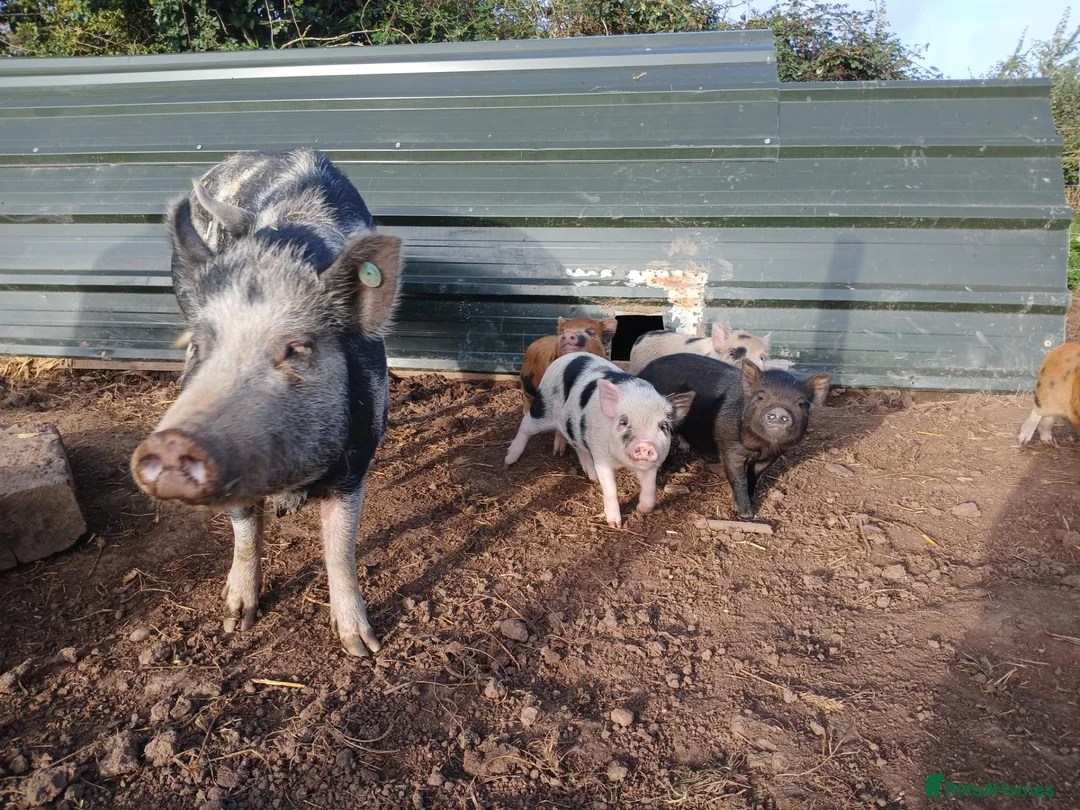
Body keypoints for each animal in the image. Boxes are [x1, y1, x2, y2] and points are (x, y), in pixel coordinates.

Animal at [128, 148, 403, 658]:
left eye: (296, 349)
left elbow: (340, 549)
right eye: (198, 345)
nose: (173, 443)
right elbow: (244, 533)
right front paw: (235, 620)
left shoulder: (357, 460)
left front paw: (363, 647)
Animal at [504, 353, 694, 527]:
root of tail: (566, 357)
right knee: (525, 424)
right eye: (623, 422)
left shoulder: (651, 465)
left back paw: (571, 461)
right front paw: (615, 525)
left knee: (572, 441)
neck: (622, 463)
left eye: (663, 426)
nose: (646, 444)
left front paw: (641, 510)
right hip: (543, 407)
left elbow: (650, 491)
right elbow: (610, 489)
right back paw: (509, 459)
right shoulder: (601, 456)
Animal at [637, 353, 830, 520]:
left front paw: (753, 499)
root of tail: (643, 371)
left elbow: (755, 475)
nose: (780, 410)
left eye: (802, 403)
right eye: (760, 396)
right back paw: (679, 468)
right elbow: (739, 479)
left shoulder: (773, 455)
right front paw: (746, 515)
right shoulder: (729, 448)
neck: (761, 447)